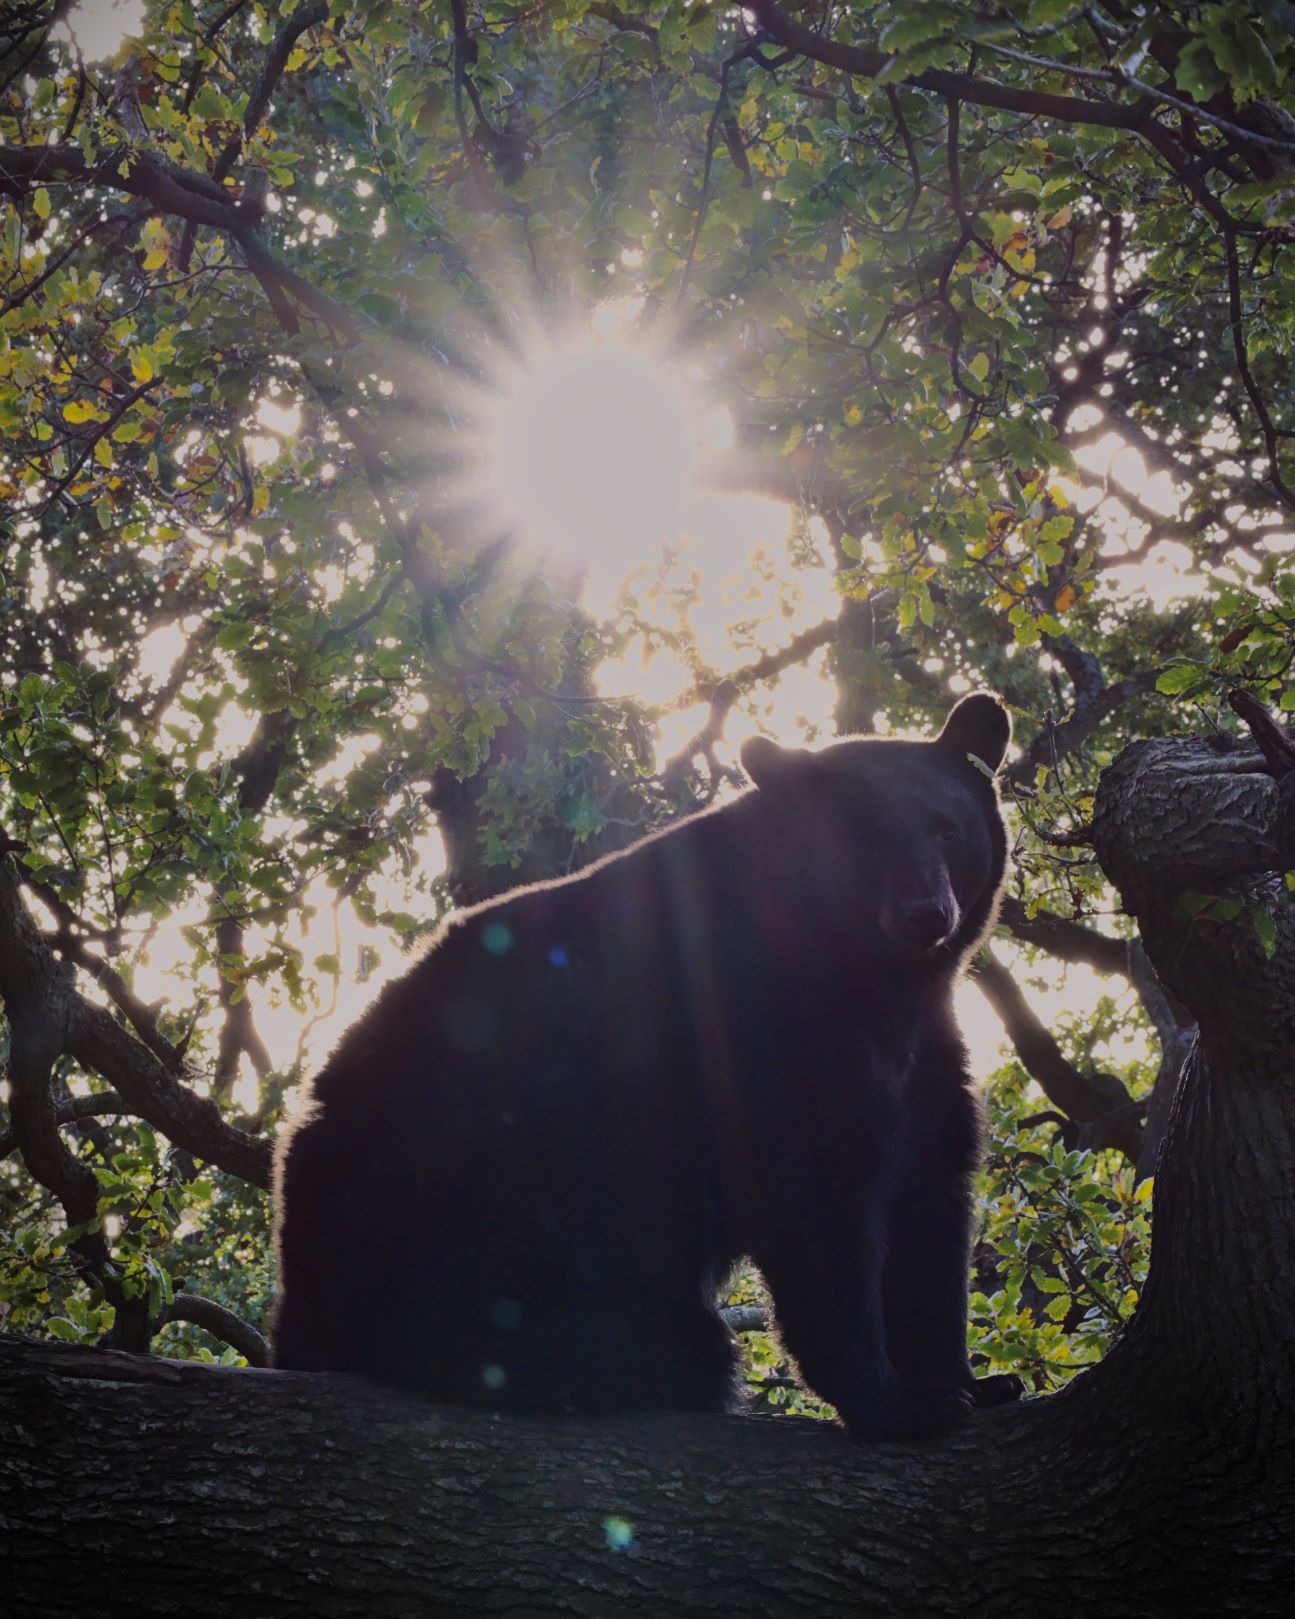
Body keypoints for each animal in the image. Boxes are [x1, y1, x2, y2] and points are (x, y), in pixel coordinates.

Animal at [273, 696, 1023, 1444]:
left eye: (946, 827)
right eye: (865, 837)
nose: (924, 914)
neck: (879, 978)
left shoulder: (926, 1058)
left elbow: (932, 1206)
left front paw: (973, 1381)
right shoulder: (769, 1037)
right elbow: (818, 1205)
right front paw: (893, 1402)